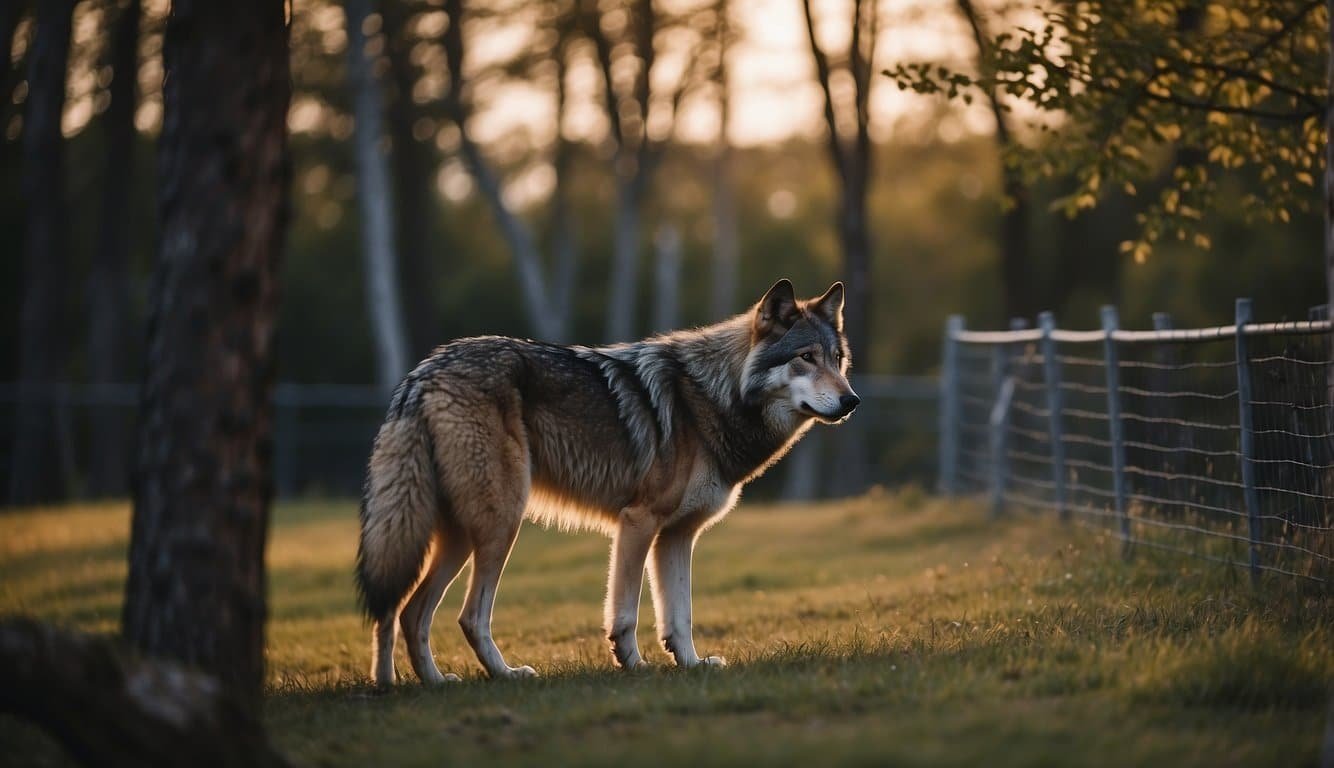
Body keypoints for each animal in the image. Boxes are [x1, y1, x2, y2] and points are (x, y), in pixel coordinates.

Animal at [354, 277, 859, 682]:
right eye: (806, 357)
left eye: (838, 359)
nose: (852, 400)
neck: (713, 397)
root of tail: (421, 375)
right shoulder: (638, 522)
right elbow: (627, 614)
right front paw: (633, 665)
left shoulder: (678, 536)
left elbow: (680, 616)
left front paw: (692, 666)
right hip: (499, 525)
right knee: (467, 616)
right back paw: (505, 675)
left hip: (454, 534)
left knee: (405, 611)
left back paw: (414, 683)